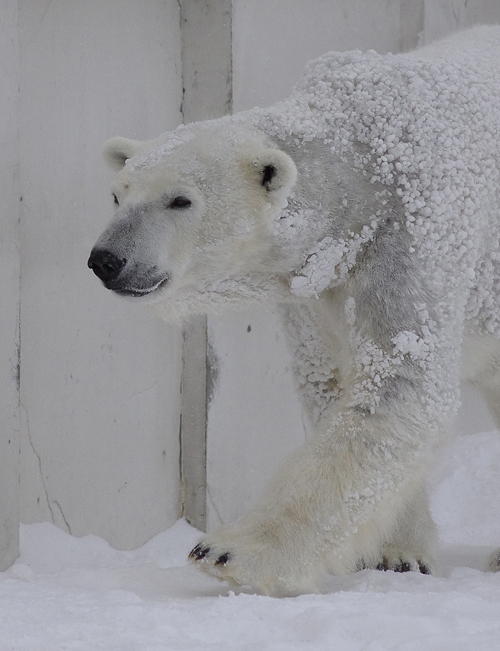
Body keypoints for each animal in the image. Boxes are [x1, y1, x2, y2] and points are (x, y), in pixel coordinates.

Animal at [88, 26, 500, 596]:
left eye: (180, 200)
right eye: (117, 194)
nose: (107, 260)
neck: (363, 162)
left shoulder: (415, 232)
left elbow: (401, 383)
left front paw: (228, 551)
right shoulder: (316, 288)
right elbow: (334, 383)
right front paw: (397, 552)